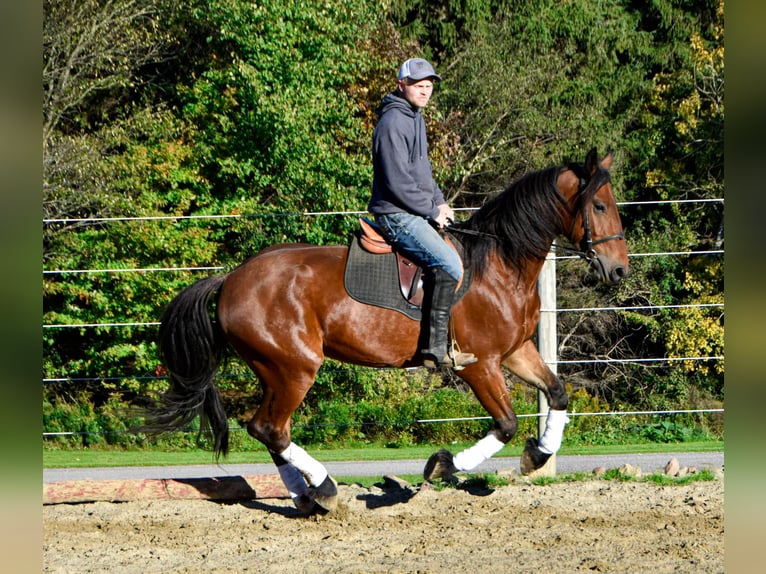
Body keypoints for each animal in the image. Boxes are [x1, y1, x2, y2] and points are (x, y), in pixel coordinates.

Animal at [148, 148, 629, 515]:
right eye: (599, 206)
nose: (619, 270)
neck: (499, 265)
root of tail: (231, 278)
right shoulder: (480, 364)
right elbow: (507, 424)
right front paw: (444, 464)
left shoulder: (514, 352)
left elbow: (558, 393)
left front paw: (538, 455)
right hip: (294, 368)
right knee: (270, 428)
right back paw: (323, 489)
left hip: (275, 370)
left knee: (268, 430)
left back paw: (305, 495)